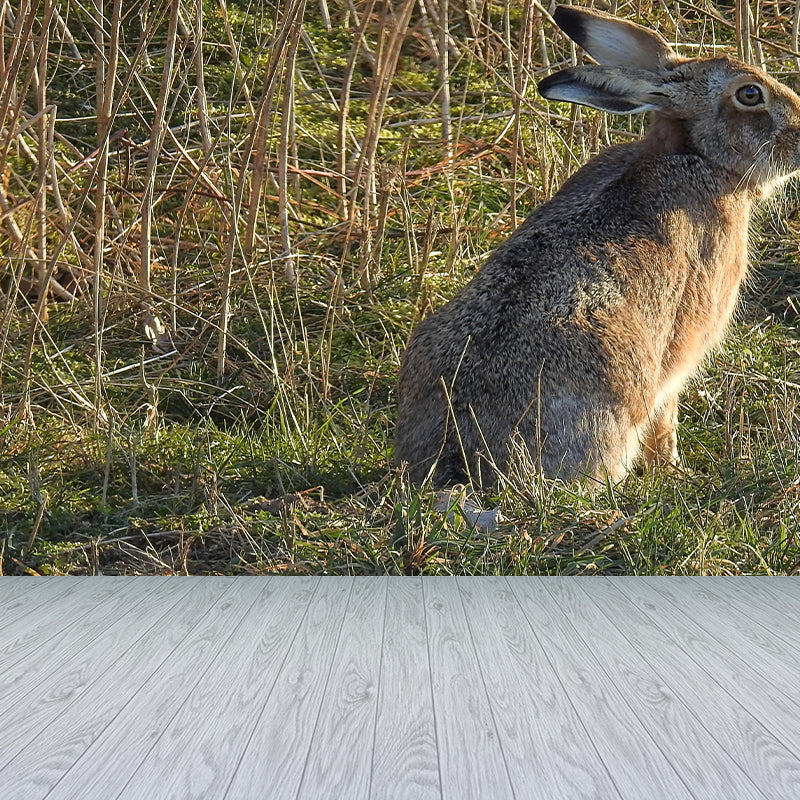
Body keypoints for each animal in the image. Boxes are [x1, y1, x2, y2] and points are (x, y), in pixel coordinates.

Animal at [394, 4, 800, 486]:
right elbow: (667, 411)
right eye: (750, 94)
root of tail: (460, 452)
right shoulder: (683, 348)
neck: (697, 155)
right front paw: (672, 468)